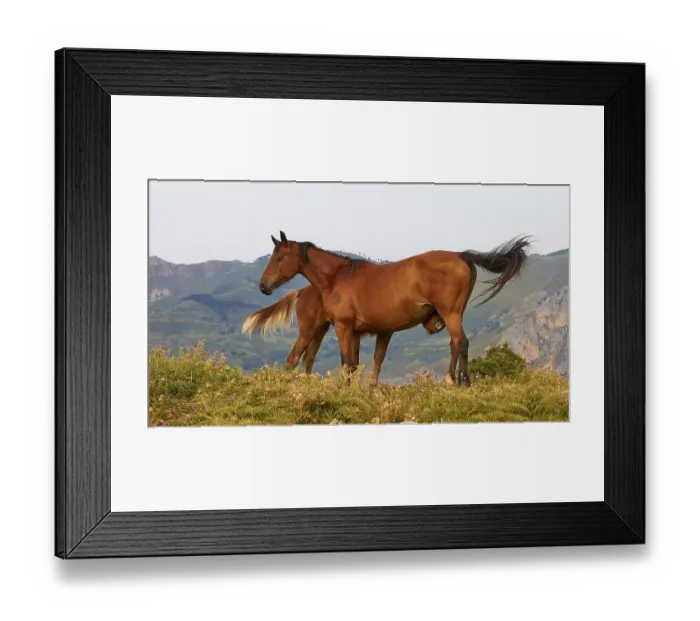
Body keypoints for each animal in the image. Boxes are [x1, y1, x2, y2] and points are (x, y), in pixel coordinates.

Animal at [242, 285, 446, 379]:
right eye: (433, 307)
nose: (440, 325)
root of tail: (302, 290)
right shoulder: (384, 332)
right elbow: (372, 361)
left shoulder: (354, 333)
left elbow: (354, 364)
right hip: (308, 329)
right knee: (294, 357)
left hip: (320, 330)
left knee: (308, 358)